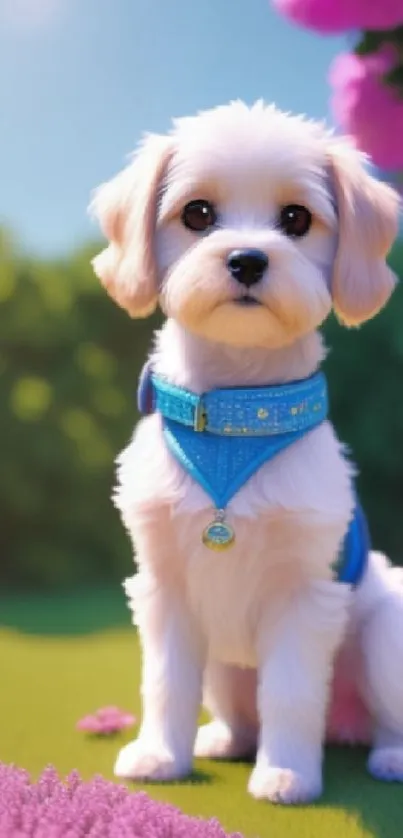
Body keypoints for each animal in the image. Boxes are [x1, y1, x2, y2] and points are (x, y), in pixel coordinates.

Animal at [91, 100, 403, 808]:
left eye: (297, 219)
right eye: (198, 213)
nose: (247, 260)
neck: (234, 420)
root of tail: (348, 726)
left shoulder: (303, 594)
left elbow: (290, 692)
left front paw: (286, 774)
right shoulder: (164, 588)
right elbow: (165, 681)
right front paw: (160, 755)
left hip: (386, 631)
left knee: (381, 713)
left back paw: (388, 754)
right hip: (223, 665)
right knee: (235, 705)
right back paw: (224, 739)